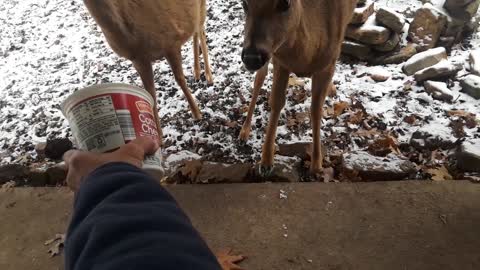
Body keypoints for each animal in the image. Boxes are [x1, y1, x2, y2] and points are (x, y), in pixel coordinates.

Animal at [82, 0, 214, 143]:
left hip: (201, 6)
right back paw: (197, 72)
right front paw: (158, 138)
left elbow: (180, 79)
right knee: (196, 30)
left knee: (201, 30)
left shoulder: (171, 42)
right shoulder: (138, 59)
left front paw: (197, 114)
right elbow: (150, 93)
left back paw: (208, 76)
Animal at [240, 0, 356, 176]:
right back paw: (244, 132)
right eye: (244, 3)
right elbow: (276, 102)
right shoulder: (280, 59)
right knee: (259, 78)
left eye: (285, 3)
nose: (251, 58)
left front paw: (316, 165)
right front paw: (266, 162)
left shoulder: (329, 63)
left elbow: (316, 109)